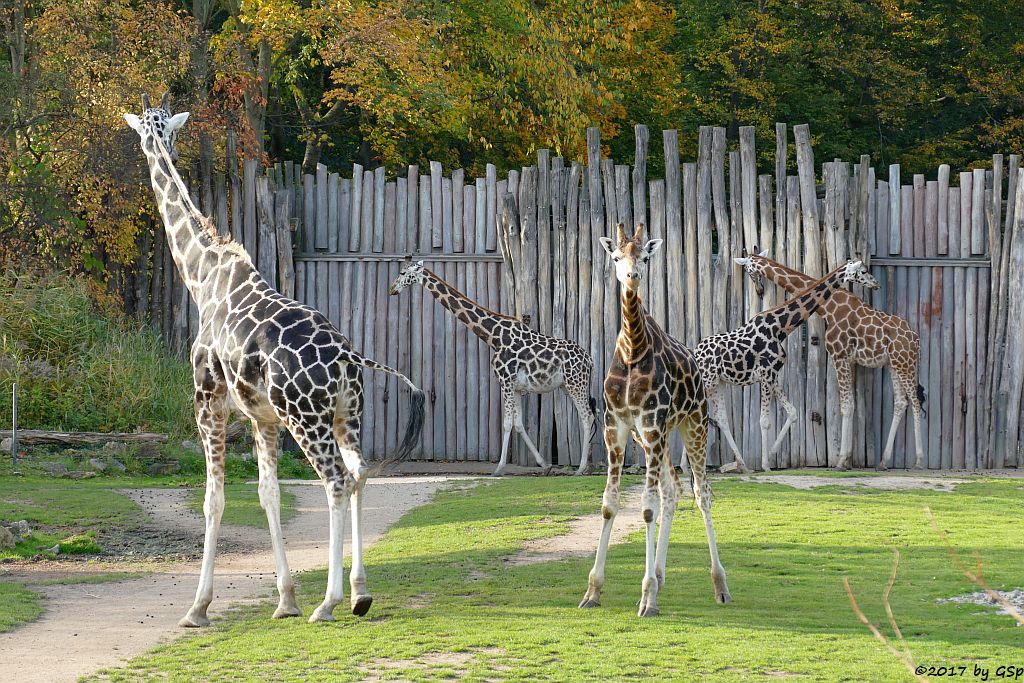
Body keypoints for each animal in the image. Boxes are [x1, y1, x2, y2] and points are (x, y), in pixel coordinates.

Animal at [124, 94, 423, 626]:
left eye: (146, 131)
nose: (151, 148)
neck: (201, 277)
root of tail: (348, 357)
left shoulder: (208, 403)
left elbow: (214, 500)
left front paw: (198, 607)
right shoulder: (262, 418)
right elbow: (269, 493)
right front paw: (285, 599)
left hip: (306, 418)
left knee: (336, 481)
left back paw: (329, 602)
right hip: (348, 414)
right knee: (361, 473)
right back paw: (360, 593)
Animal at [391, 262, 598, 475]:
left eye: (403, 273)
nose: (392, 289)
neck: (493, 336)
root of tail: (589, 359)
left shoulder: (504, 381)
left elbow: (507, 424)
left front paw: (498, 469)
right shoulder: (516, 387)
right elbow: (518, 424)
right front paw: (545, 464)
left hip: (575, 384)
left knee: (587, 417)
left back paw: (582, 468)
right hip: (568, 386)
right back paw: (587, 466)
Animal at [581, 224, 733, 618]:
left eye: (646, 257)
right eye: (616, 257)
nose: (632, 277)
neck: (633, 350)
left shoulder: (651, 424)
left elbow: (646, 509)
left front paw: (647, 597)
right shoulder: (618, 428)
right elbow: (610, 504)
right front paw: (593, 591)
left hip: (692, 425)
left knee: (701, 494)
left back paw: (720, 585)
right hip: (657, 438)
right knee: (672, 489)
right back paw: (662, 576)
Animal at [696, 259, 880, 473]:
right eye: (863, 271)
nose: (875, 283)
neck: (781, 327)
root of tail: (695, 353)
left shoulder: (773, 375)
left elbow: (792, 412)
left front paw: (770, 455)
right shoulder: (766, 373)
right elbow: (764, 421)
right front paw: (766, 465)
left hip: (719, 383)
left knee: (720, 417)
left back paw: (740, 465)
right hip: (708, 381)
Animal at [737, 249, 929, 471]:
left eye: (748, 269)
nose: (876, 284)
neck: (828, 308)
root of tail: (916, 339)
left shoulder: (839, 355)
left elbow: (845, 406)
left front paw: (841, 460)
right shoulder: (850, 360)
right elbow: (851, 405)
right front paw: (846, 459)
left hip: (905, 362)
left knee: (915, 401)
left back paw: (919, 461)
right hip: (894, 364)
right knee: (900, 402)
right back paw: (883, 461)